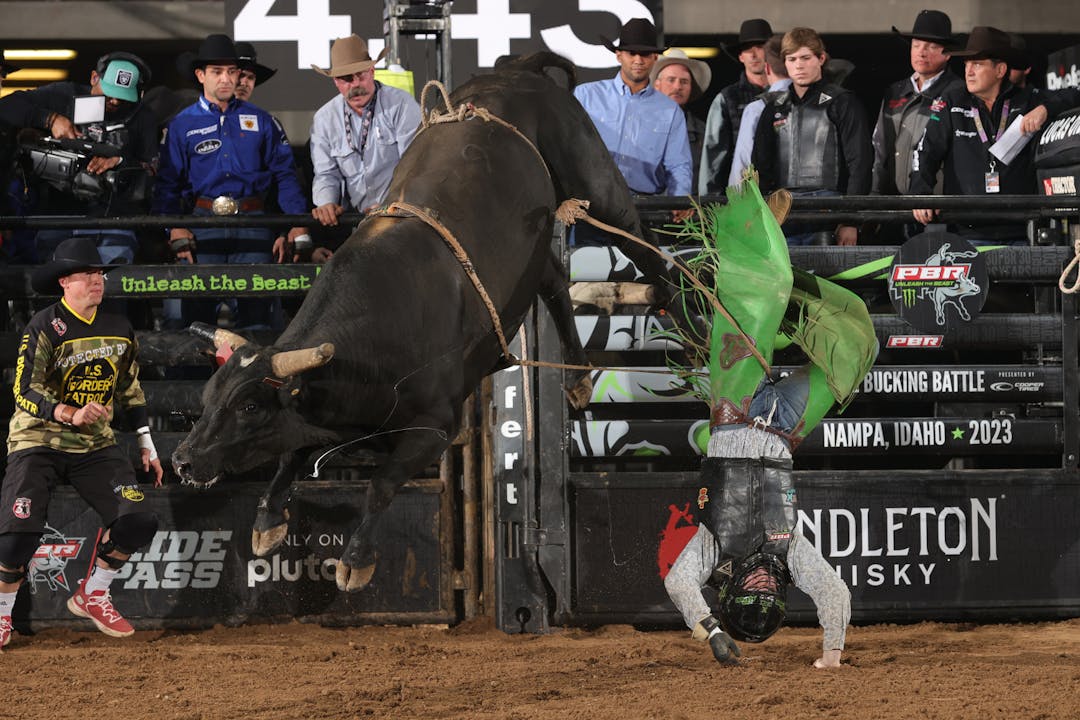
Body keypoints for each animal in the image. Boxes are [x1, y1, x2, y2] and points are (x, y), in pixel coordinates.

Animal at [170, 50, 673, 591]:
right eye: (208, 396)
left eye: (248, 407)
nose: (183, 459)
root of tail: (518, 67)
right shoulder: (327, 410)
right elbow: (290, 454)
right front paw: (267, 523)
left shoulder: (436, 427)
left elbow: (382, 483)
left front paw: (356, 561)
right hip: (533, 247)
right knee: (556, 281)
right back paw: (578, 378)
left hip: (591, 175)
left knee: (636, 236)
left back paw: (672, 300)